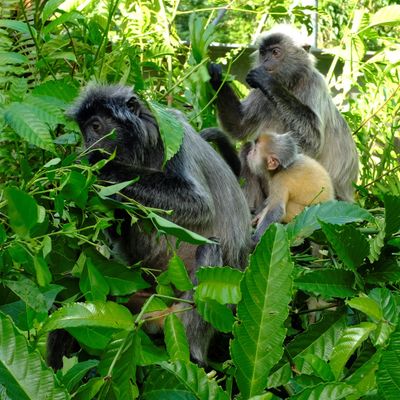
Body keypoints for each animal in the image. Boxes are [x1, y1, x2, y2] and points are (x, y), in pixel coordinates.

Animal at [209, 25, 360, 206]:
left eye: (275, 52)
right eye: (263, 53)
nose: (266, 61)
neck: (289, 84)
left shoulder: (314, 83)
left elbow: (313, 140)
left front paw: (269, 82)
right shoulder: (260, 93)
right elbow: (239, 126)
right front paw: (217, 78)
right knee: (248, 148)